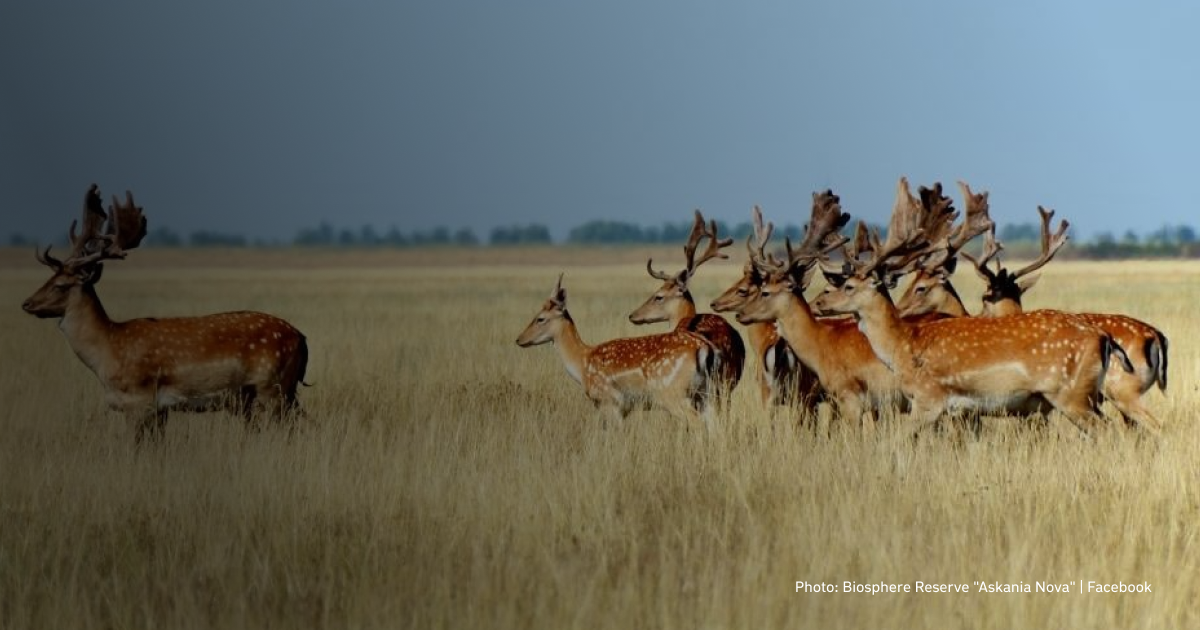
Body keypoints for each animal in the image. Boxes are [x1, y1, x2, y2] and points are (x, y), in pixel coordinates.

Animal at [21, 184, 309, 439]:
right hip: (262, 396)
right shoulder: (159, 410)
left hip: (273, 387)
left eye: (61, 285)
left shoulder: (140, 401)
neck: (107, 349)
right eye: (48, 278)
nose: (27, 303)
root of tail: (301, 337)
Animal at [516, 273, 720, 427]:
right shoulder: (623, 409)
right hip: (707, 393)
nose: (519, 339)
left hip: (672, 394)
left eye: (540, 318)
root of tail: (704, 349)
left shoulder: (609, 402)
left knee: (697, 423)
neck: (582, 363)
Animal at [806, 177, 1132, 436]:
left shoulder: (929, 400)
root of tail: (1104, 339)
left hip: (1071, 395)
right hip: (1084, 396)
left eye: (848, 286)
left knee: (1110, 432)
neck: (903, 348)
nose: (819, 302)